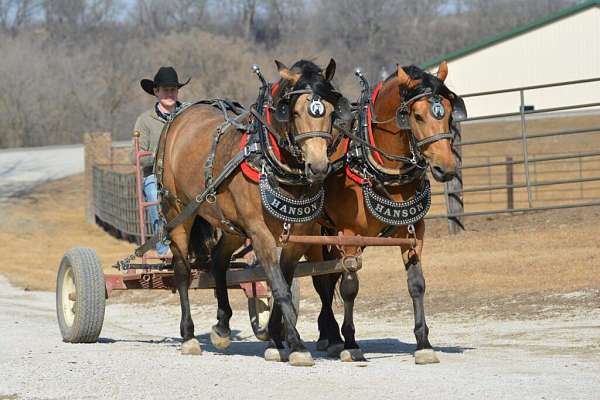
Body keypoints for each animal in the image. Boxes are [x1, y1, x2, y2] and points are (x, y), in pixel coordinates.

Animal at [159, 57, 350, 368]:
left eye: (332, 112)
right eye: (294, 112)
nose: (318, 167)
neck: (266, 155)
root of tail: (181, 116)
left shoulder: (296, 237)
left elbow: (282, 282)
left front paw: (277, 338)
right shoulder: (260, 234)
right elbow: (280, 287)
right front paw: (296, 344)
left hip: (231, 226)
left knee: (219, 260)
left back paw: (222, 326)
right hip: (178, 211)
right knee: (182, 270)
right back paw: (188, 336)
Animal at [308, 61, 466, 364]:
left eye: (448, 112)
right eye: (416, 116)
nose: (447, 168)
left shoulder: (414, 232)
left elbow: (416, 283)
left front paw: (423, 342)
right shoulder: (349, 234)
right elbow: (349, 287)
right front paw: (351, 344)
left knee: (328, 278)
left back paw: (329, 335)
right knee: (322, 281)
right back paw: (331, 336)